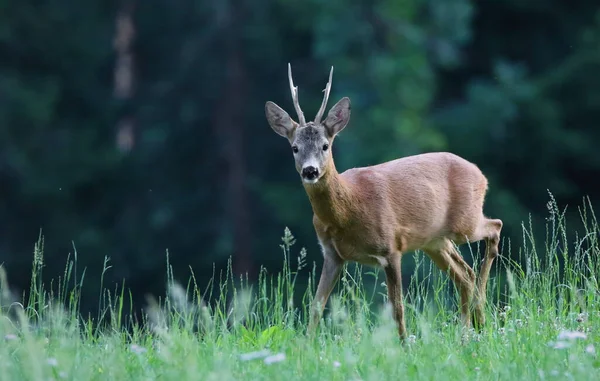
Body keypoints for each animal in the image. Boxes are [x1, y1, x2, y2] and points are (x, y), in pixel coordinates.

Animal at [264, 63, 504, 338]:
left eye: (325, 145)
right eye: (294, 147)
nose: (310, 171)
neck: (347, 210)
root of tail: (481, 175)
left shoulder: (391, 247)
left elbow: (398, 309)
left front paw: (405, 344)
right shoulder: (332, 254)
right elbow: (316, 306)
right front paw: (306, 342)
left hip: (464, 224)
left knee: (494, 227)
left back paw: (479, 318)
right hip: (435, 241)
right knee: (465, 274)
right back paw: (470, 328)